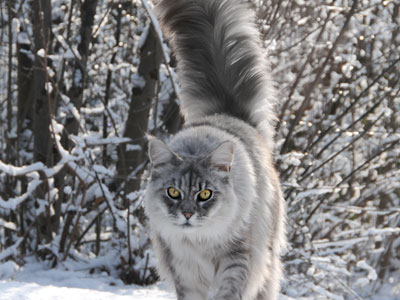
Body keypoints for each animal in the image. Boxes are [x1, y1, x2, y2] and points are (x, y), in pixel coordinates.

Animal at [143, 0, 284, 300]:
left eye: (205, 194)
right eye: (173, 192)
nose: (187, 214)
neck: (198, 242)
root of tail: (228, 113)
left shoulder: (237, 257)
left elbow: (228, 291)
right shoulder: (184, 271)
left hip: (266, 263)